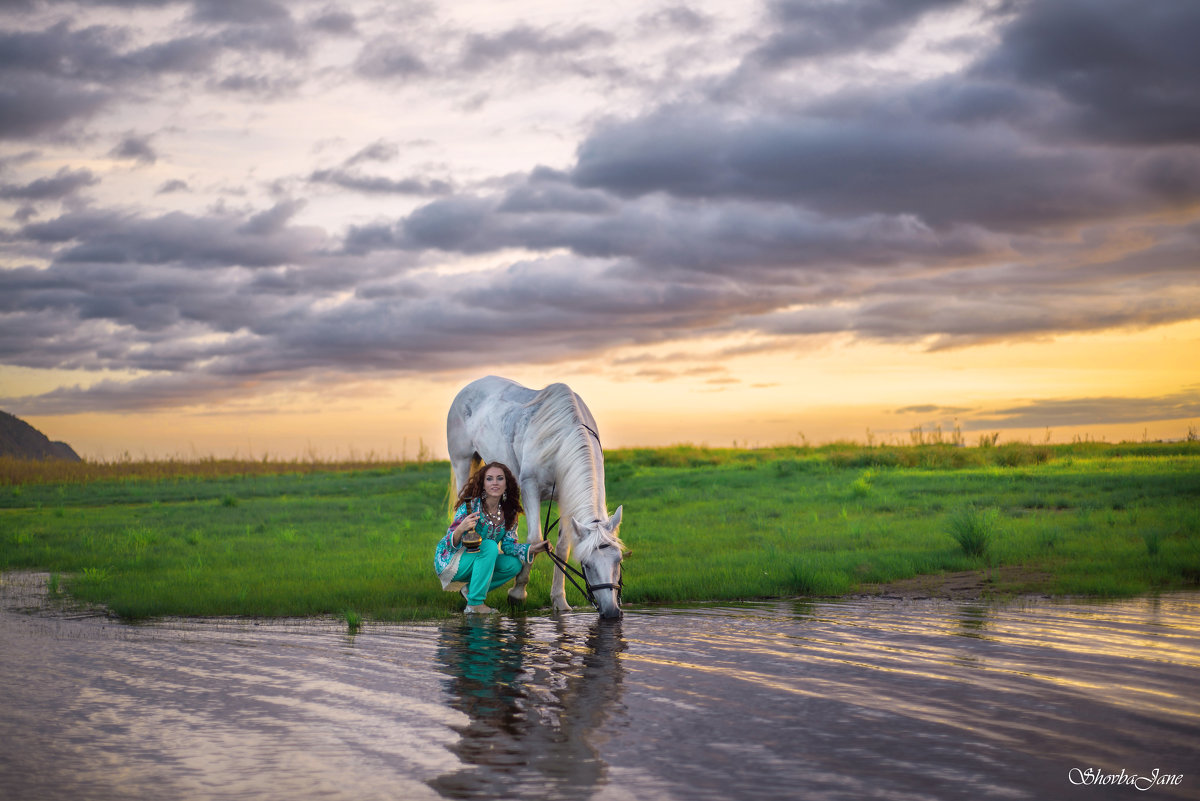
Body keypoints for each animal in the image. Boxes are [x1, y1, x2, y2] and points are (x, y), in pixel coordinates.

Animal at [446, 376, 624, 618]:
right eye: (586, 564)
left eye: (619, 560)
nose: (612, 611)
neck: (562, 442)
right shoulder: (530, 488)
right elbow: (535, 540)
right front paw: (517, 593)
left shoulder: (565, 500)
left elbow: (562, 547)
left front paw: (559, 601)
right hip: (463, 462)